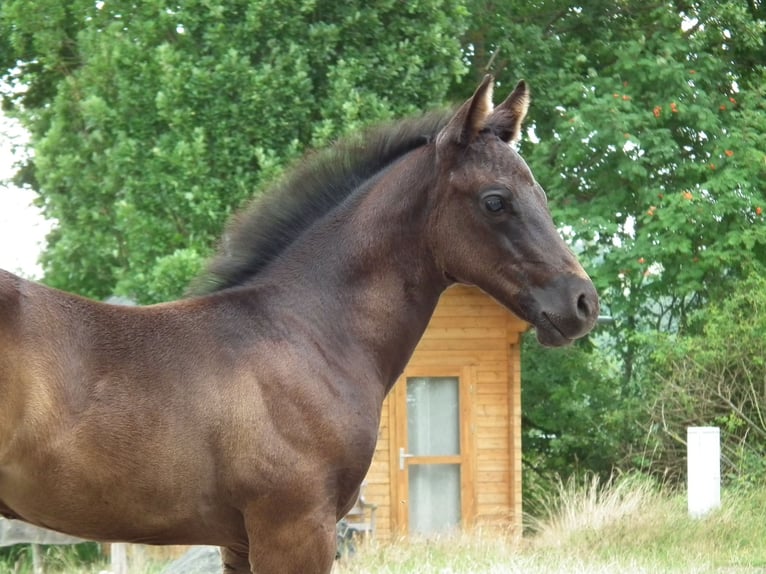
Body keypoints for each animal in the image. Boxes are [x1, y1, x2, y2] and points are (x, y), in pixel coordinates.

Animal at [0, 76, 598, 573]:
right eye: (495, 201)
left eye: (542, 194)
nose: (582, 303)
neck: (307, 335)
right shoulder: (294, 527)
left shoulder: (240, 539)